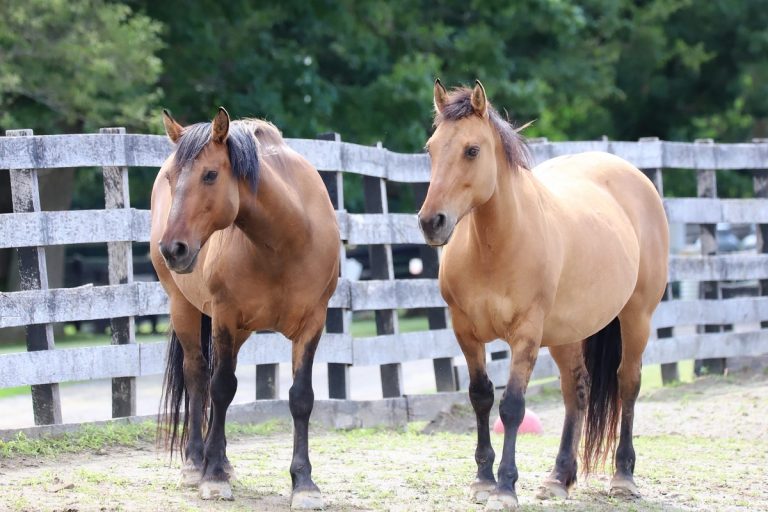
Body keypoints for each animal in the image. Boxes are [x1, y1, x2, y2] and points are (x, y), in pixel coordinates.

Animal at [150, 107, 339, 509]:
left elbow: (301, 398)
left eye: (210, 174)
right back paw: (197, 464)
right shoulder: (225, 317)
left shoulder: (313, 323)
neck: (285, 241)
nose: (173, 249)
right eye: (172, 178)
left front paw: (304, 484)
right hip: (185, 309)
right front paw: (213, 478)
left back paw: (218, 459)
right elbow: (221, 388)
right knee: (198, 377)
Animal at [418, 80, 668, 510]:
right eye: (431, 149)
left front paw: (505, 486)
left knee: (628, 384)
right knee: (577, 392)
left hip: (637, 317)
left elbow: (513, 407)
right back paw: (558, 478)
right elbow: (481, 396)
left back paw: (623, 477)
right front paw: (483, 480)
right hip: (568, 334)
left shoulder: (526, 334)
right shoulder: (465, 331)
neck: (494, 246)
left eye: (472, 150)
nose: (432, 222)